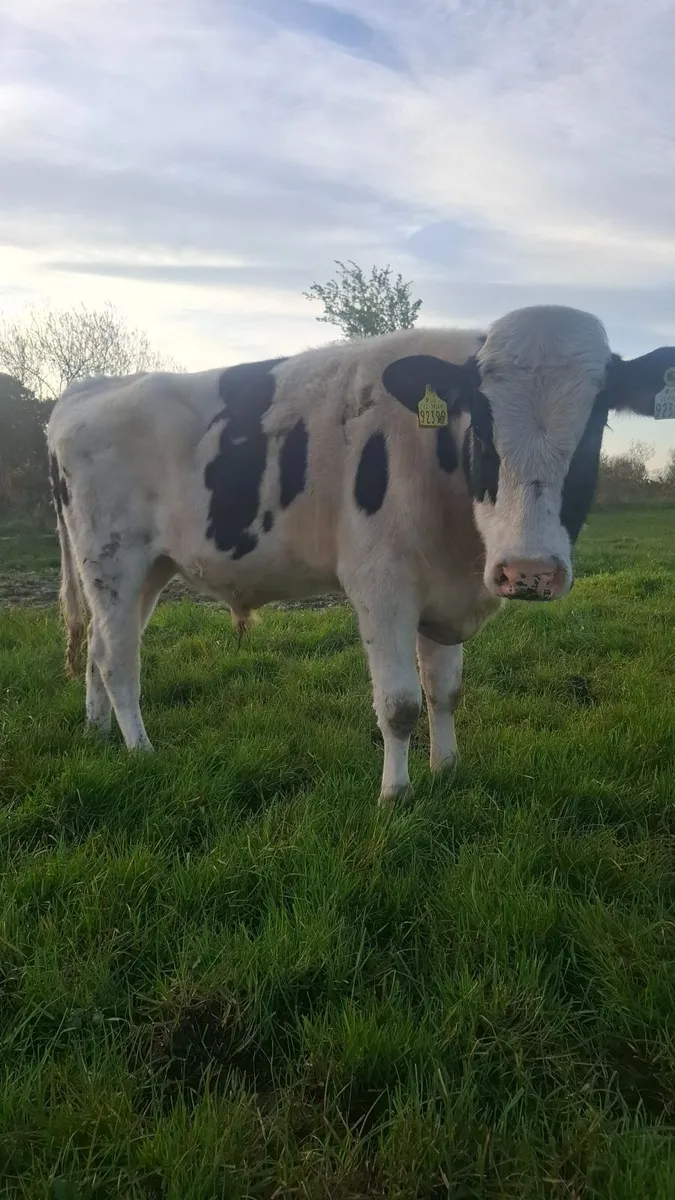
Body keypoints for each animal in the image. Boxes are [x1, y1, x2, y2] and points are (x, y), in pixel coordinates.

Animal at [46, 304, 675, 802]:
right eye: (483, 419)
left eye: (596, 421)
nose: (529, 571)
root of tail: (86, 390)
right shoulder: (382, 586)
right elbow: (399, 702)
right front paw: (395, 796)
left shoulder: (445, 591)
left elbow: (444, 691)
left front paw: (446, 771)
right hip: (112, 560)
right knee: (117, 658)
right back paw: (141, 751)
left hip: (147, 570)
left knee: (99, 647)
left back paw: (98, 732)